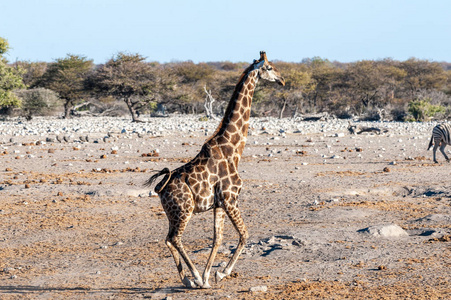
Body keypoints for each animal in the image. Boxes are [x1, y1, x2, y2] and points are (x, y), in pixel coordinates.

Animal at [146, 51, 286, 288]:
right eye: (269, 67)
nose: (282, 80)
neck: (233, 149)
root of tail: (161, 188)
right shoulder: (231, 199)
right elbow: (244, 234)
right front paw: (220, 273)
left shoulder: (219, 204)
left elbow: (217, 238)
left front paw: (208, 275)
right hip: (184, 210)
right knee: (175, 238)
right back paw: (193, 277)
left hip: (173, 214)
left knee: (168, 239)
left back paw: (187, 279)